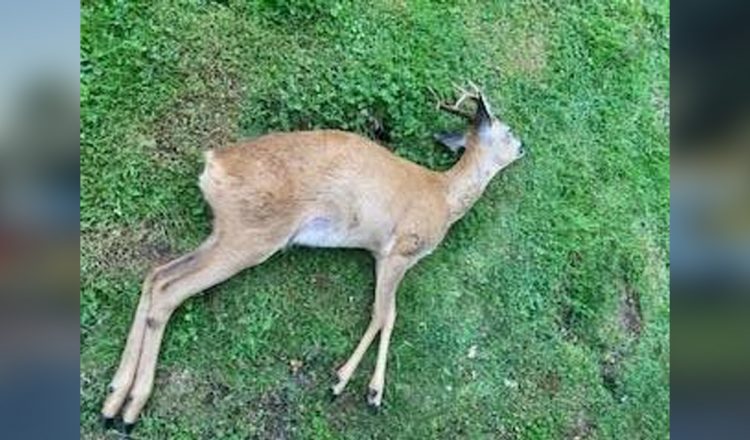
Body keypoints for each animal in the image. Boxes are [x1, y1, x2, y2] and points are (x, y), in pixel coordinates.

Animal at [101, 83, 525, 433]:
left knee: (156, 275)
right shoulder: (399, 249)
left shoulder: (380, 254)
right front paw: (353, 386)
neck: (444, 197)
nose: (524, 146)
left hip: (225, 232)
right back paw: (131, 408)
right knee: (171, 289)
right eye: (508, 131)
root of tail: (212, 163)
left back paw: (113, 400)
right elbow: (385, 316)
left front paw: (360, 386)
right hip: (251, 235)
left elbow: (385, 314)